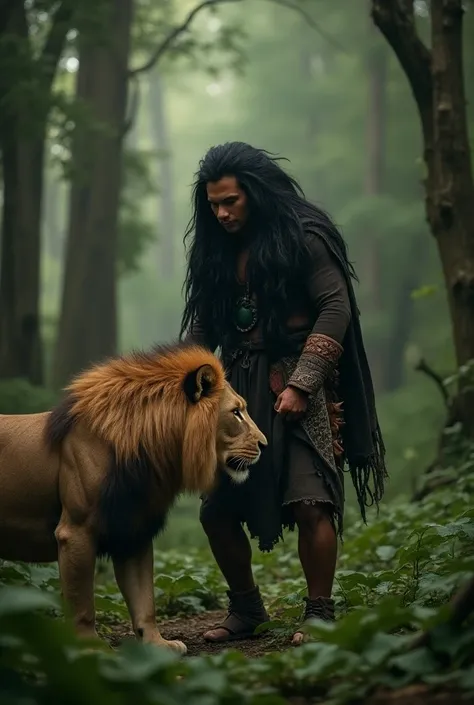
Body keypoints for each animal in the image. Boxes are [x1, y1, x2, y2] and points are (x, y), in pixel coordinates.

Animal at [0, 340, 266, 656]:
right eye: (236, 412)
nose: (264, 444)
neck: (149, 452)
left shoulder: (133, 531)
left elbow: (144, 600)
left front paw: (158, 645)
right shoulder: (75, 532)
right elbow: (82, 604)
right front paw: (89, 647)